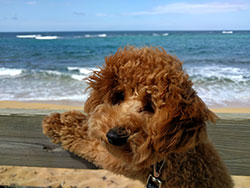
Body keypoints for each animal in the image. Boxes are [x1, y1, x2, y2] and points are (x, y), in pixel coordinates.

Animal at [42, 46, 232, 188]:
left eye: (151, 107)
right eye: (119, 95)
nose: (114, 136)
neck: (166, 158)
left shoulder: (124, 158)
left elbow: (90, 143)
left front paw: (60, 124)